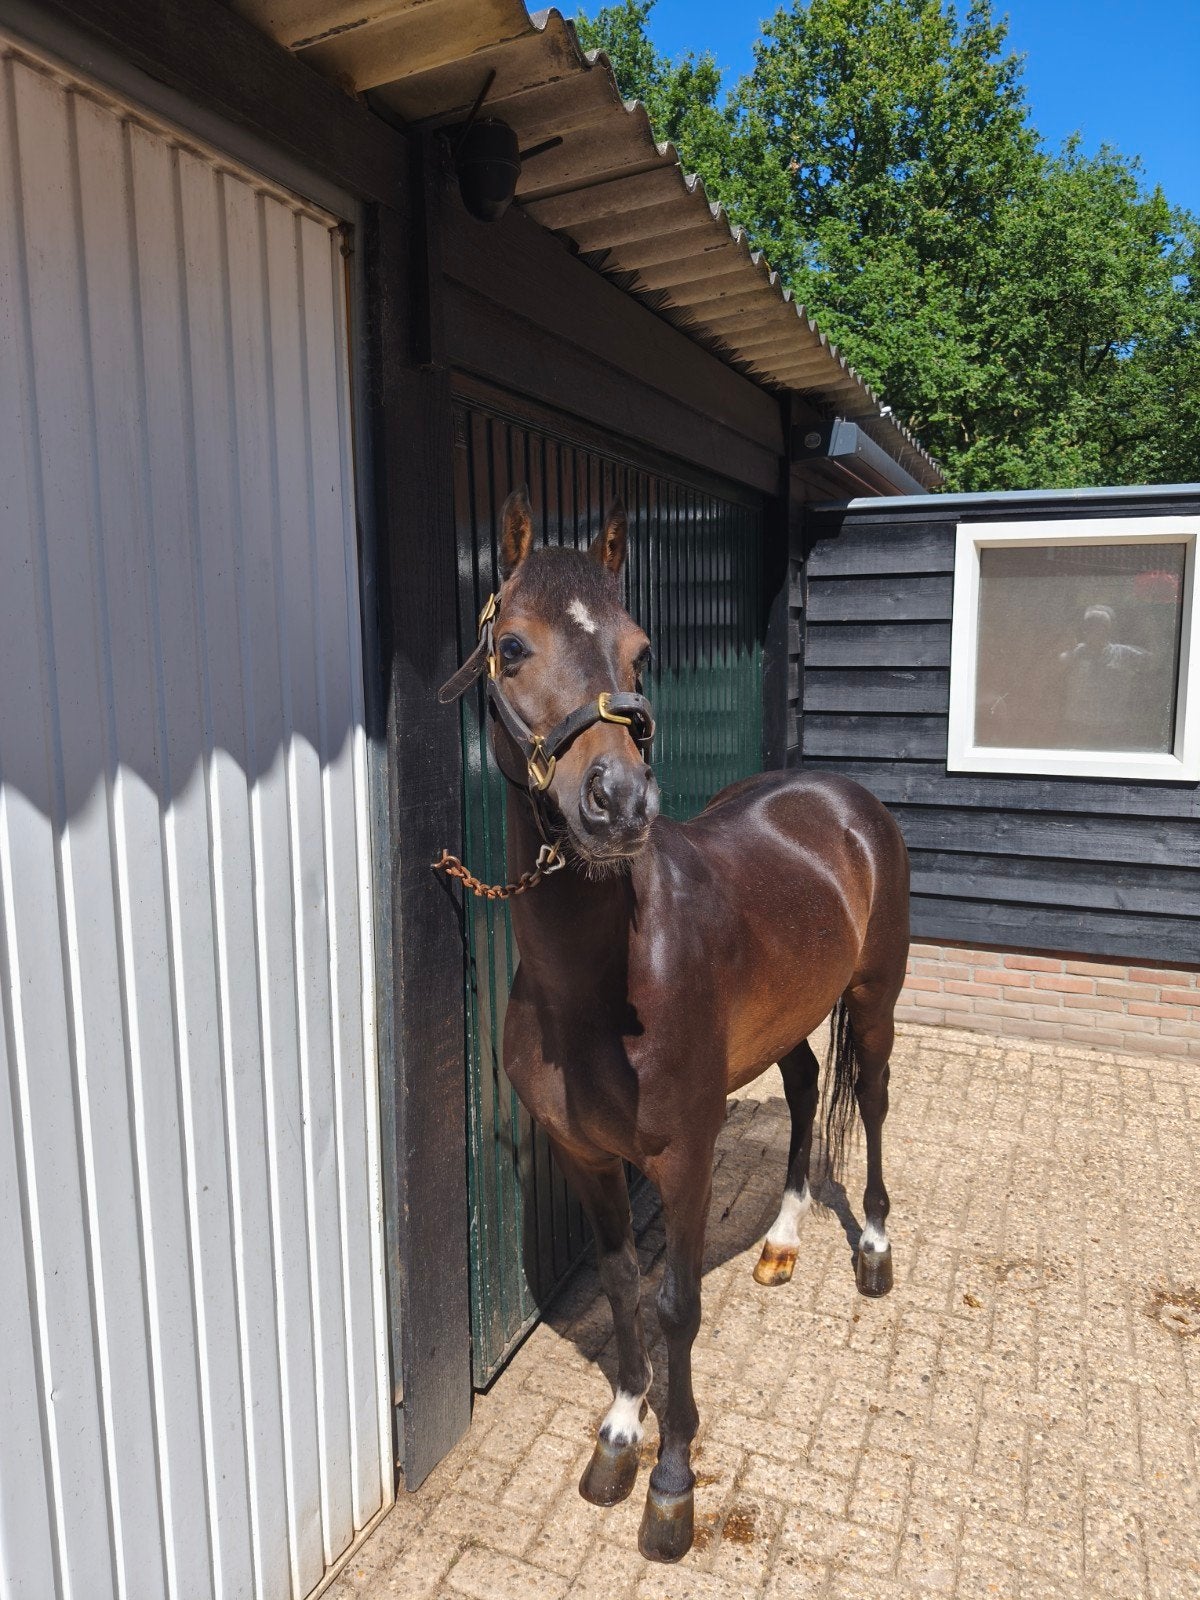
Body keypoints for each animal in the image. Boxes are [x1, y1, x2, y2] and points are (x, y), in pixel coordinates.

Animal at [437, 489, 910, 1562]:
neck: (599, 985)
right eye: (512, 647)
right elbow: (620, 1286)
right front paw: (618, 1436)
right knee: (806, 1091)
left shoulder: (685, 1154)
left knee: (868, 1101)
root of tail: (844, 800)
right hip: (788, 1023)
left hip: (875, 999)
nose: (617, 804)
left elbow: (675, 1304)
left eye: (640, 649)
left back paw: (871, 1248)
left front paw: (673, 1482)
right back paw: (782, 1240)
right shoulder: (586, 1156)